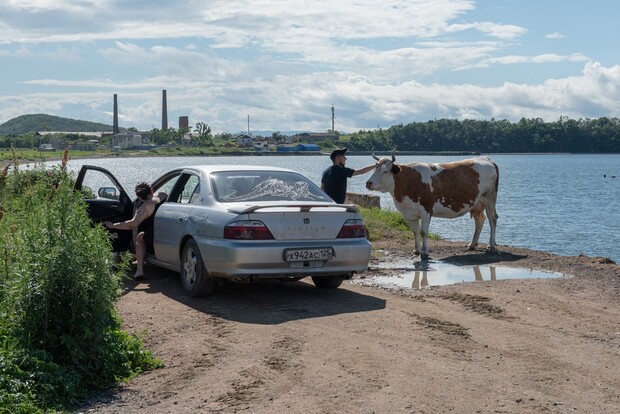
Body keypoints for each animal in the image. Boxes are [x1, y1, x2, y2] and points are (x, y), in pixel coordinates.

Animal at [366, 153, 496, 258]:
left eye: (385, 171)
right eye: (374, 170)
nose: (368, 183)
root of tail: (485, 158)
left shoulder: (426, 210)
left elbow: (424, 232)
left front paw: (424, 252)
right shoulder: (410, 213)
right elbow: (415, 231)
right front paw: (416, 250)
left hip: (490, 198)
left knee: (492, 219)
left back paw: (491, 246)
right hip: (477, 202)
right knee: (480, 219)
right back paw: (472, 245)